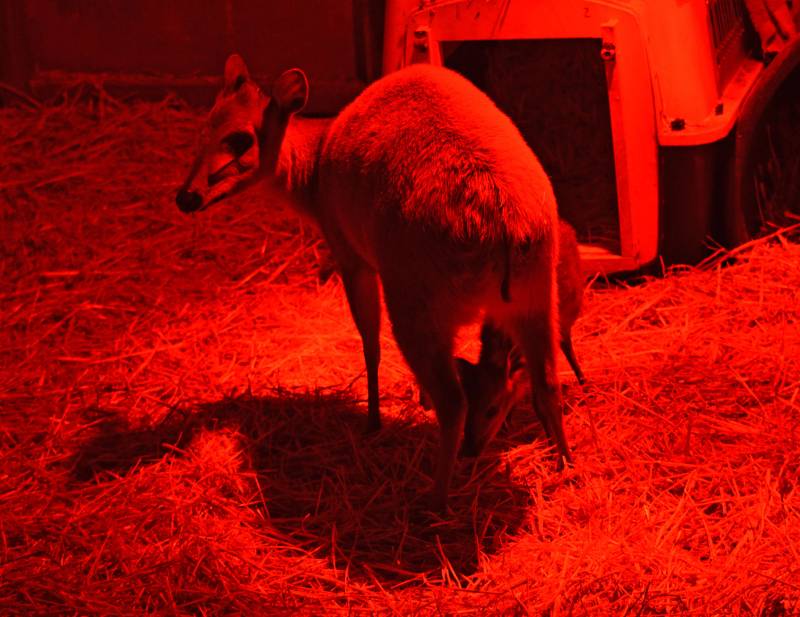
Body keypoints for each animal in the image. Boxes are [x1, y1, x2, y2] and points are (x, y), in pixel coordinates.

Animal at [178, 56, 572, 510]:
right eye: (206, 124)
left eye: (241, 138)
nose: (185, 196)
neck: (314, 174)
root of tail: (506, 225)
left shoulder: (351, 255)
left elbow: (368, 342)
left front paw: (373, 418)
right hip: (536, 297)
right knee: (546, 382)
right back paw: (566, 465)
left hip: (417, 302)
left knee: (453, 400)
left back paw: (435, 498)